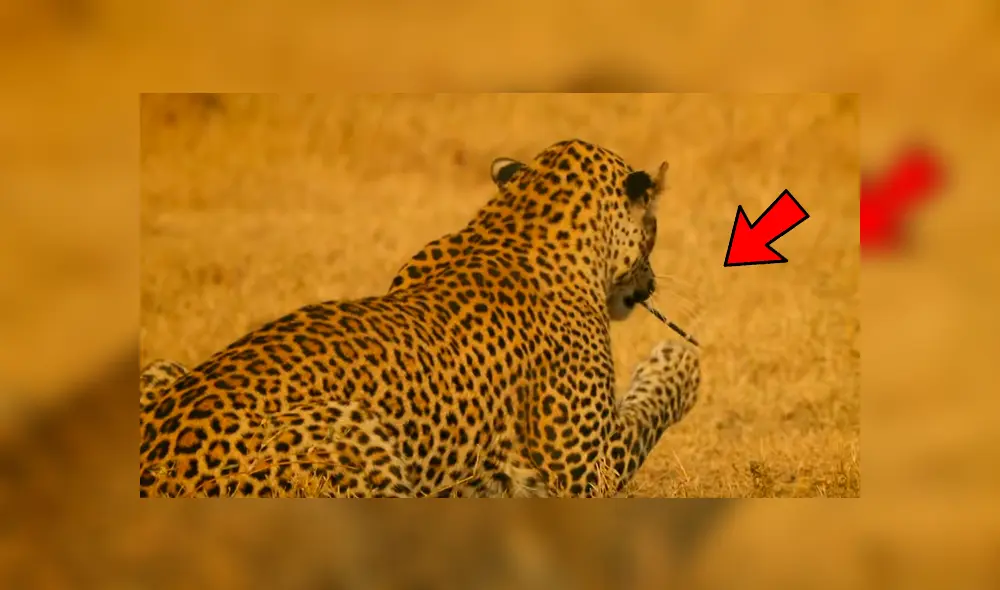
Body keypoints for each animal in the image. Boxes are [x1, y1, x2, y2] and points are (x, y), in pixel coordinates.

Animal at [138, 138, 701, 498]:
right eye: (654, 228)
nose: (650, 281)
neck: (517, 224)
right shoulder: (585, 468)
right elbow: (649, 408)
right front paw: (680, 360)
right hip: (354, 432)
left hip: (161, 369)